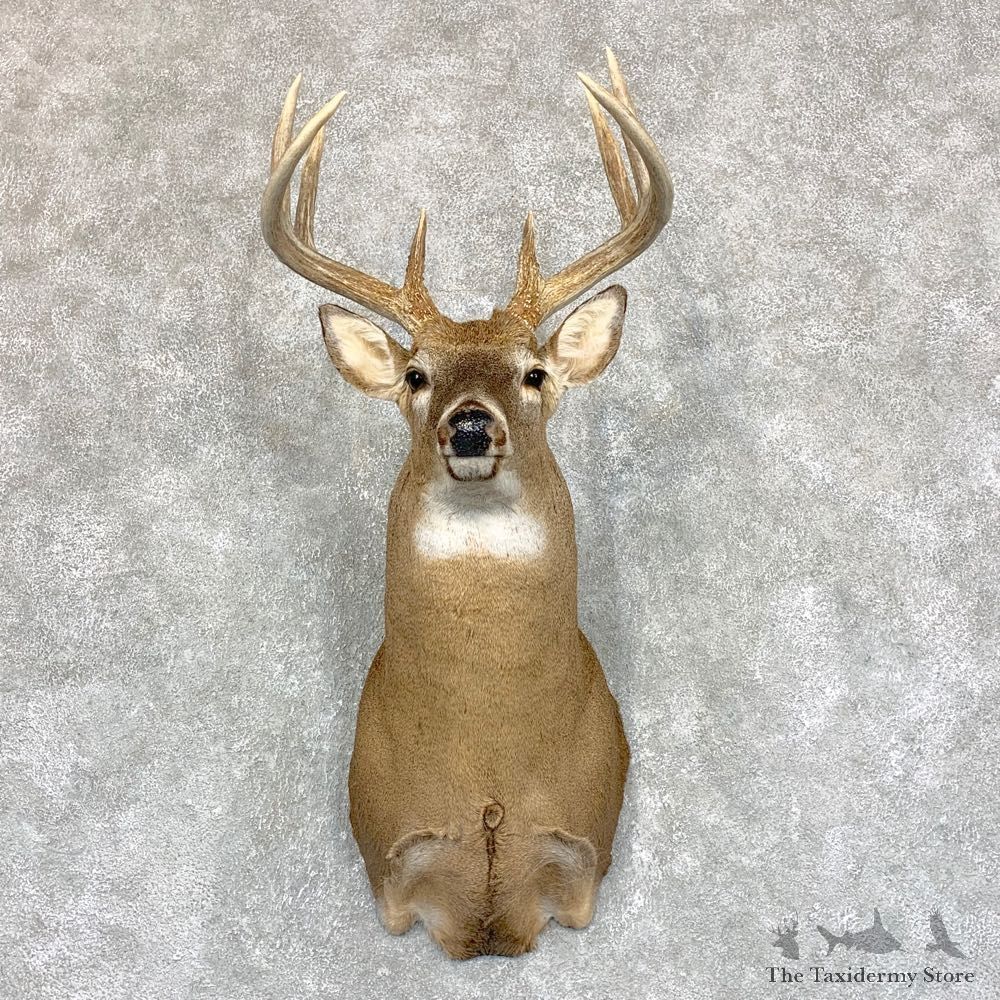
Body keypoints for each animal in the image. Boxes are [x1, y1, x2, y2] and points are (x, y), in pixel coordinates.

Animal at [260, 48, 673, 959]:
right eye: (417, 375)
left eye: (535, 372)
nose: (473, 425)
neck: (488, 760)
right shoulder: (390, 859)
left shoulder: (582, 854)